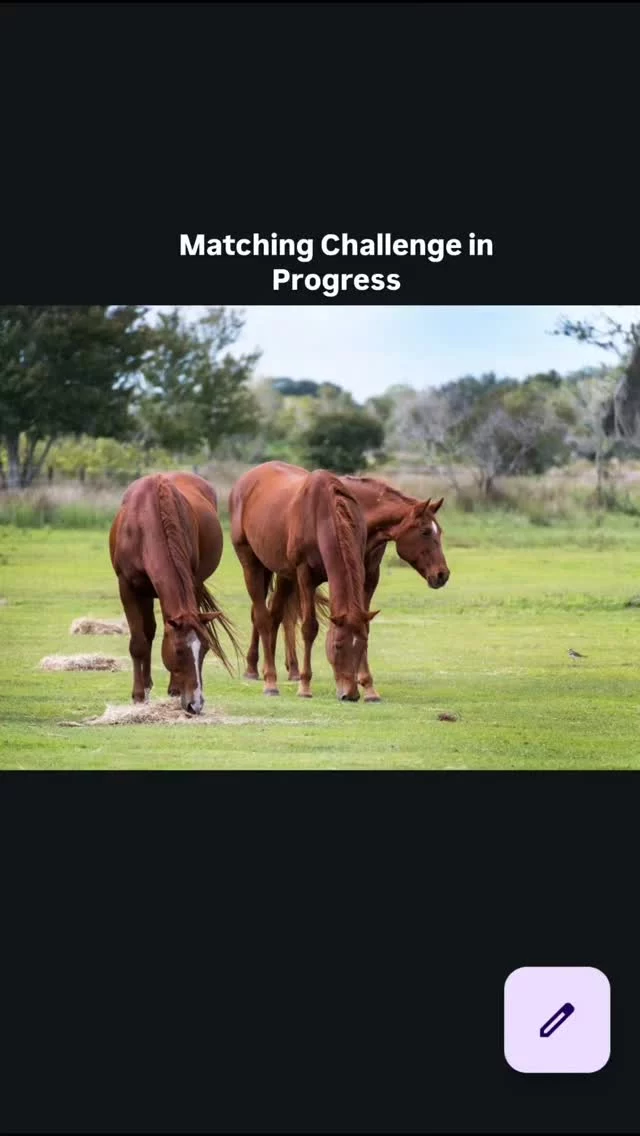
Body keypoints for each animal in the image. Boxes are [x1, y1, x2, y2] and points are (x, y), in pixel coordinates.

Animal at [109, 472, 240, 715]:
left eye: (206, 650)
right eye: (179, 652)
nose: (195, 704)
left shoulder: (190, 582)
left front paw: (175, 690)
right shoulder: (128, 587)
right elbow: (139, 642)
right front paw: (138, 695)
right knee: (148, 633)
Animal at [244, 471, 450, 701]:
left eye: (439, 532)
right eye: (425, 532)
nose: (442, 574)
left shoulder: (367, 577)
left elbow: (363, 625)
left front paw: (367, 685)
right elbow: (310, 626)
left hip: (285, 576)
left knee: (278, 615)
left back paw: (288, 669)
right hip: (267, 569)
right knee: (264, 615)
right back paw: (256, 669)